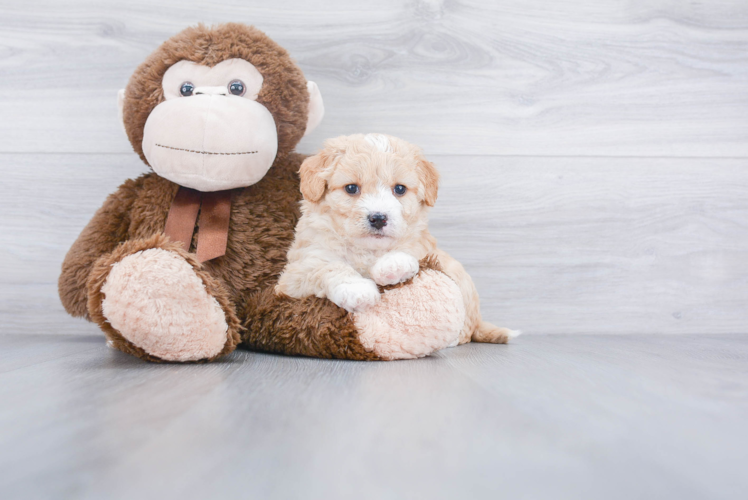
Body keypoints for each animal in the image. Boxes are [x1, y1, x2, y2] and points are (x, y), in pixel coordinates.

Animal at [276, 133, 520, 346]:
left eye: (400, 189)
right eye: (351, 188)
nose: (378, 218)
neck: (367, 251)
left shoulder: (424, 247)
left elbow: (410, 249)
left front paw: (393, 265)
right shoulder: (292, 276)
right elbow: (327, 267)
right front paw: (357, 289)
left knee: (465, 331)